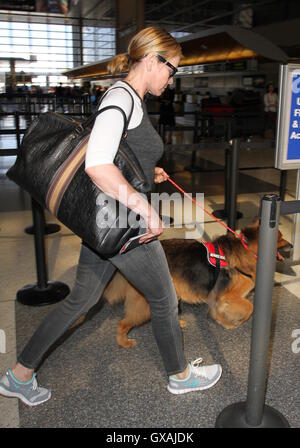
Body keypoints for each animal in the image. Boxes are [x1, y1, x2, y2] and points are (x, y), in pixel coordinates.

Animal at [75, 219, 290, 348]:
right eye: (280, 238)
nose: (292, 245)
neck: (246, 250)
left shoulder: (217, 298)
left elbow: (217, 312)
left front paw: (223, 321)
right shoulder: (227, 296)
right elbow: (249, 307)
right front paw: (237, 321)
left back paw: (177, 323)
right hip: (145, 306)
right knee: (122, 323)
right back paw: (123, 342)